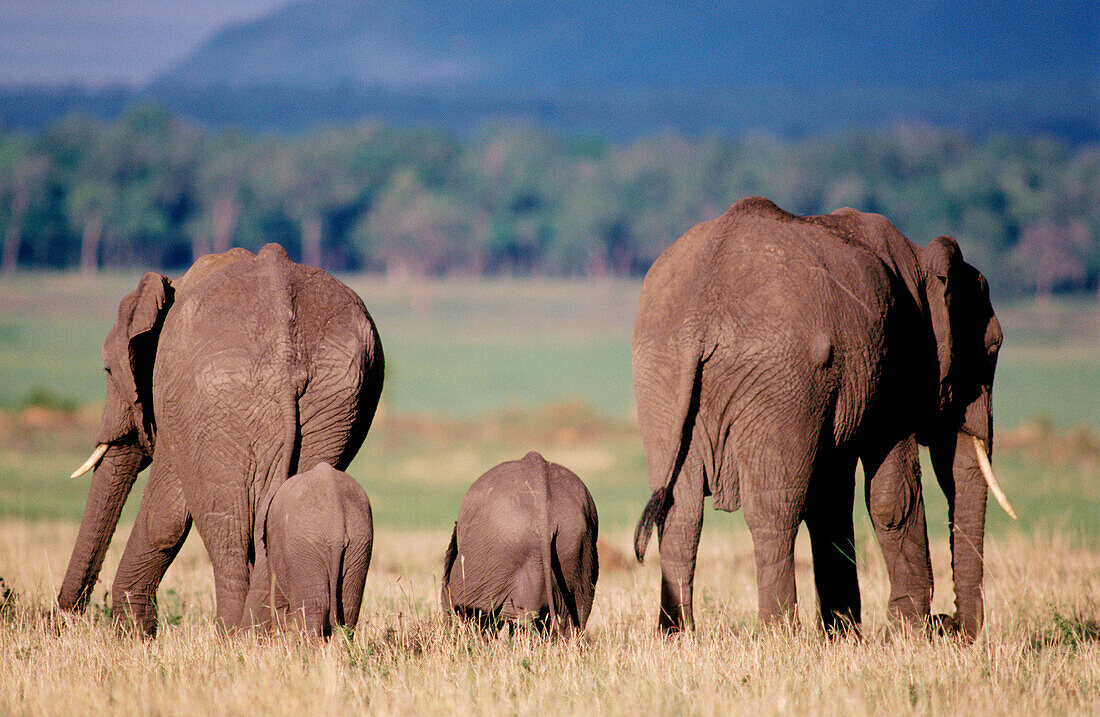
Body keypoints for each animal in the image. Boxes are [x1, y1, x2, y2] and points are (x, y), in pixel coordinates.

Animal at [633, 195, 1007, 637]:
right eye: (995, 346)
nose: (950, 625)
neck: (920, 259)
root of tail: (698, 314)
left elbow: (830, 498)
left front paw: (844, 636)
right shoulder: (897, 365)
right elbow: (894, 497)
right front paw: (908, 632)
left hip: (661, 374)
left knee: (681, 512)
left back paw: (677, 637)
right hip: (780, 378)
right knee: (774, 508)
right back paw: (779, 635)